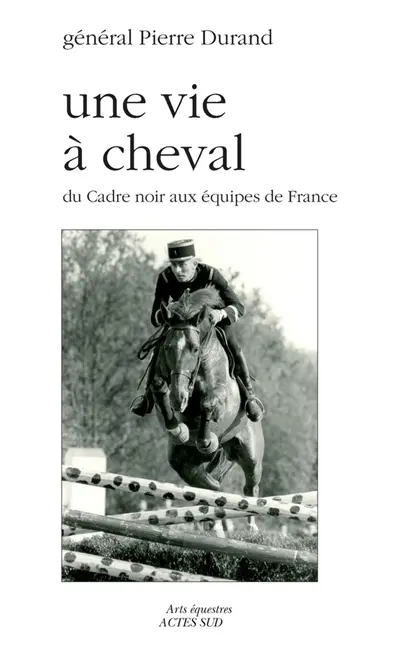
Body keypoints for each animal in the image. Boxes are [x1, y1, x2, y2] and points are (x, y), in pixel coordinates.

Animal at [149, 286, 265, 534]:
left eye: (194, 349)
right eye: (167, 347)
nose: (178, 397)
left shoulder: (221, 393)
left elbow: (208, 403)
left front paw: (205, 439)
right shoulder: (163, 381)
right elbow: (160, 388)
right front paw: (178, 430)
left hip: (250, 454)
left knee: (251, 487)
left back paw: (251, 527)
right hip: (184, 463)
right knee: (210, 486)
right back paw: (215, 522)